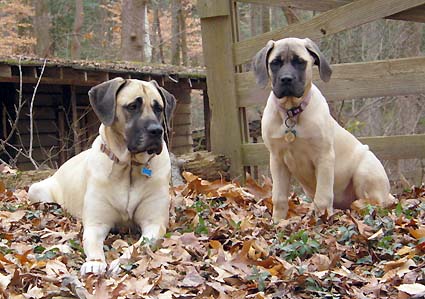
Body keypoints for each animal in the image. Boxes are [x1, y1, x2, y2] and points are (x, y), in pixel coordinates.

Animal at [28, 78, 175, 276]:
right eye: (133, 106)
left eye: (158, 108)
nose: (157, 131)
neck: (128, 167)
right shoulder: (96, 224)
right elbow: (92, 243)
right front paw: (95, 262)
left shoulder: (154, 224)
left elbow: (139, 246)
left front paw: (122, 261)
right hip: (35, 190)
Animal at [252, 37, 394, 221]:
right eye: (275, 63)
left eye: (300, 62)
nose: (286, 79)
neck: (292, 112)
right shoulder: (277, 160)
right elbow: (279, 197)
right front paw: (278, 222)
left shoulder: (324, 157)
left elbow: (323, 198)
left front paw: (321, 221)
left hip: (365, 172)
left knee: (373, 204)